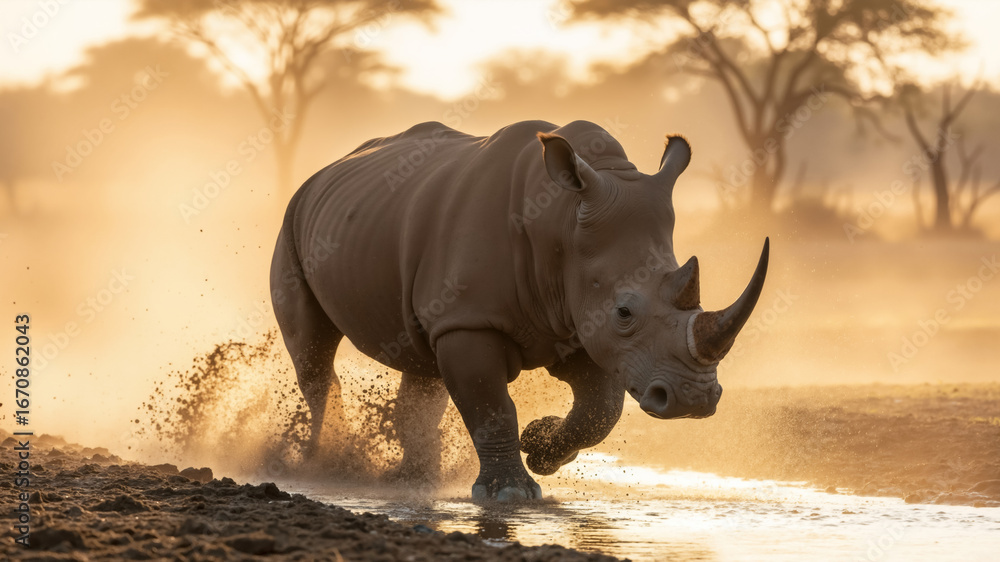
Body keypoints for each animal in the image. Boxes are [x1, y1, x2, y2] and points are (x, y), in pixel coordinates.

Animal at [270, 120, 768, 501]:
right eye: (624, 312)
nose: (692, 401)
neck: (563, 222)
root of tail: (323, 172)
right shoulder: (470, 320)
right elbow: (491, 405)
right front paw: (510, 494)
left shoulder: (576, 322)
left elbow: (600, 410)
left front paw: (540, 447)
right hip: (292, 220)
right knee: (314, 349)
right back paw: (327, 463)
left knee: (422, 368)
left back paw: (410, 481)